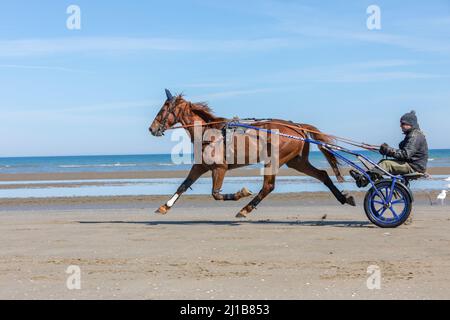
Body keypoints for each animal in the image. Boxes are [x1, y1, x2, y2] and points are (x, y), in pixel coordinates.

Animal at [148, 89, 356, 218]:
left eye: (163, 109)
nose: (152, 128)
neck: (210, 133)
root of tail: (296, 126)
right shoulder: (200, 166)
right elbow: (183, 185)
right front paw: (164, 206)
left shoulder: (220, 168)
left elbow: (215, 194)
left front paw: (241, 193)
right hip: (296, 161)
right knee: (322, 175)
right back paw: (344, 198)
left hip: (275, 160)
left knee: (268, 187)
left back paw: (245, 209)